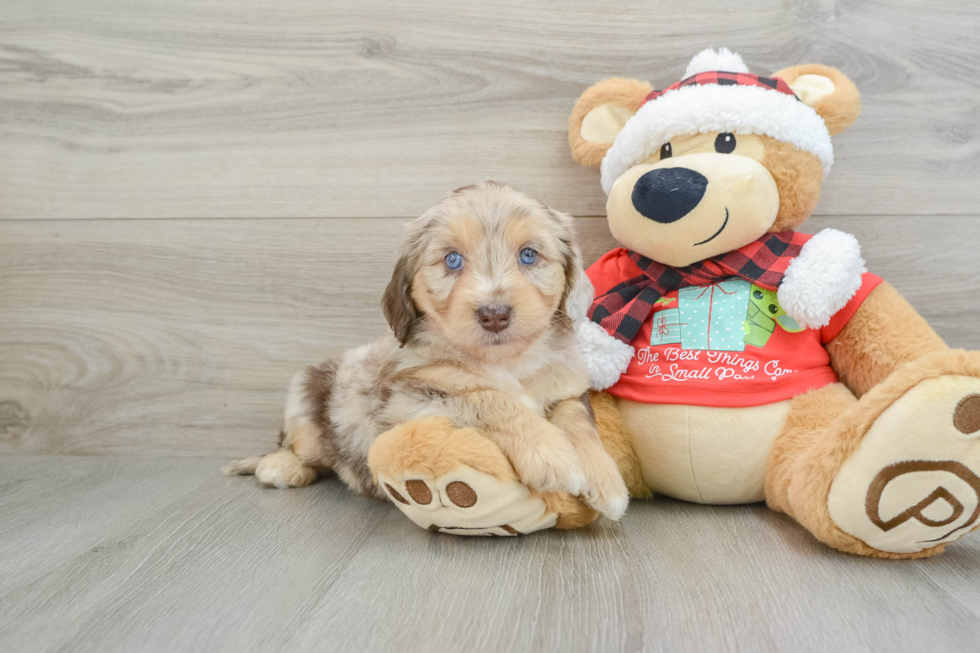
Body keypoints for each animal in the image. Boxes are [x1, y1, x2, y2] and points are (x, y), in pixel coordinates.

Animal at [227, 180, 628, 536]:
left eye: (529, 254)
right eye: (452, 259)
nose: (494, 314)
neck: (507, 362)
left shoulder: (566, 388)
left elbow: (578, 421)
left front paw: (606, 480)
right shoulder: (405, 403)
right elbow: (486, 396)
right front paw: (550, 455)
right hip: (306, 397)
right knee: (297, 445)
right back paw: (280, 466)